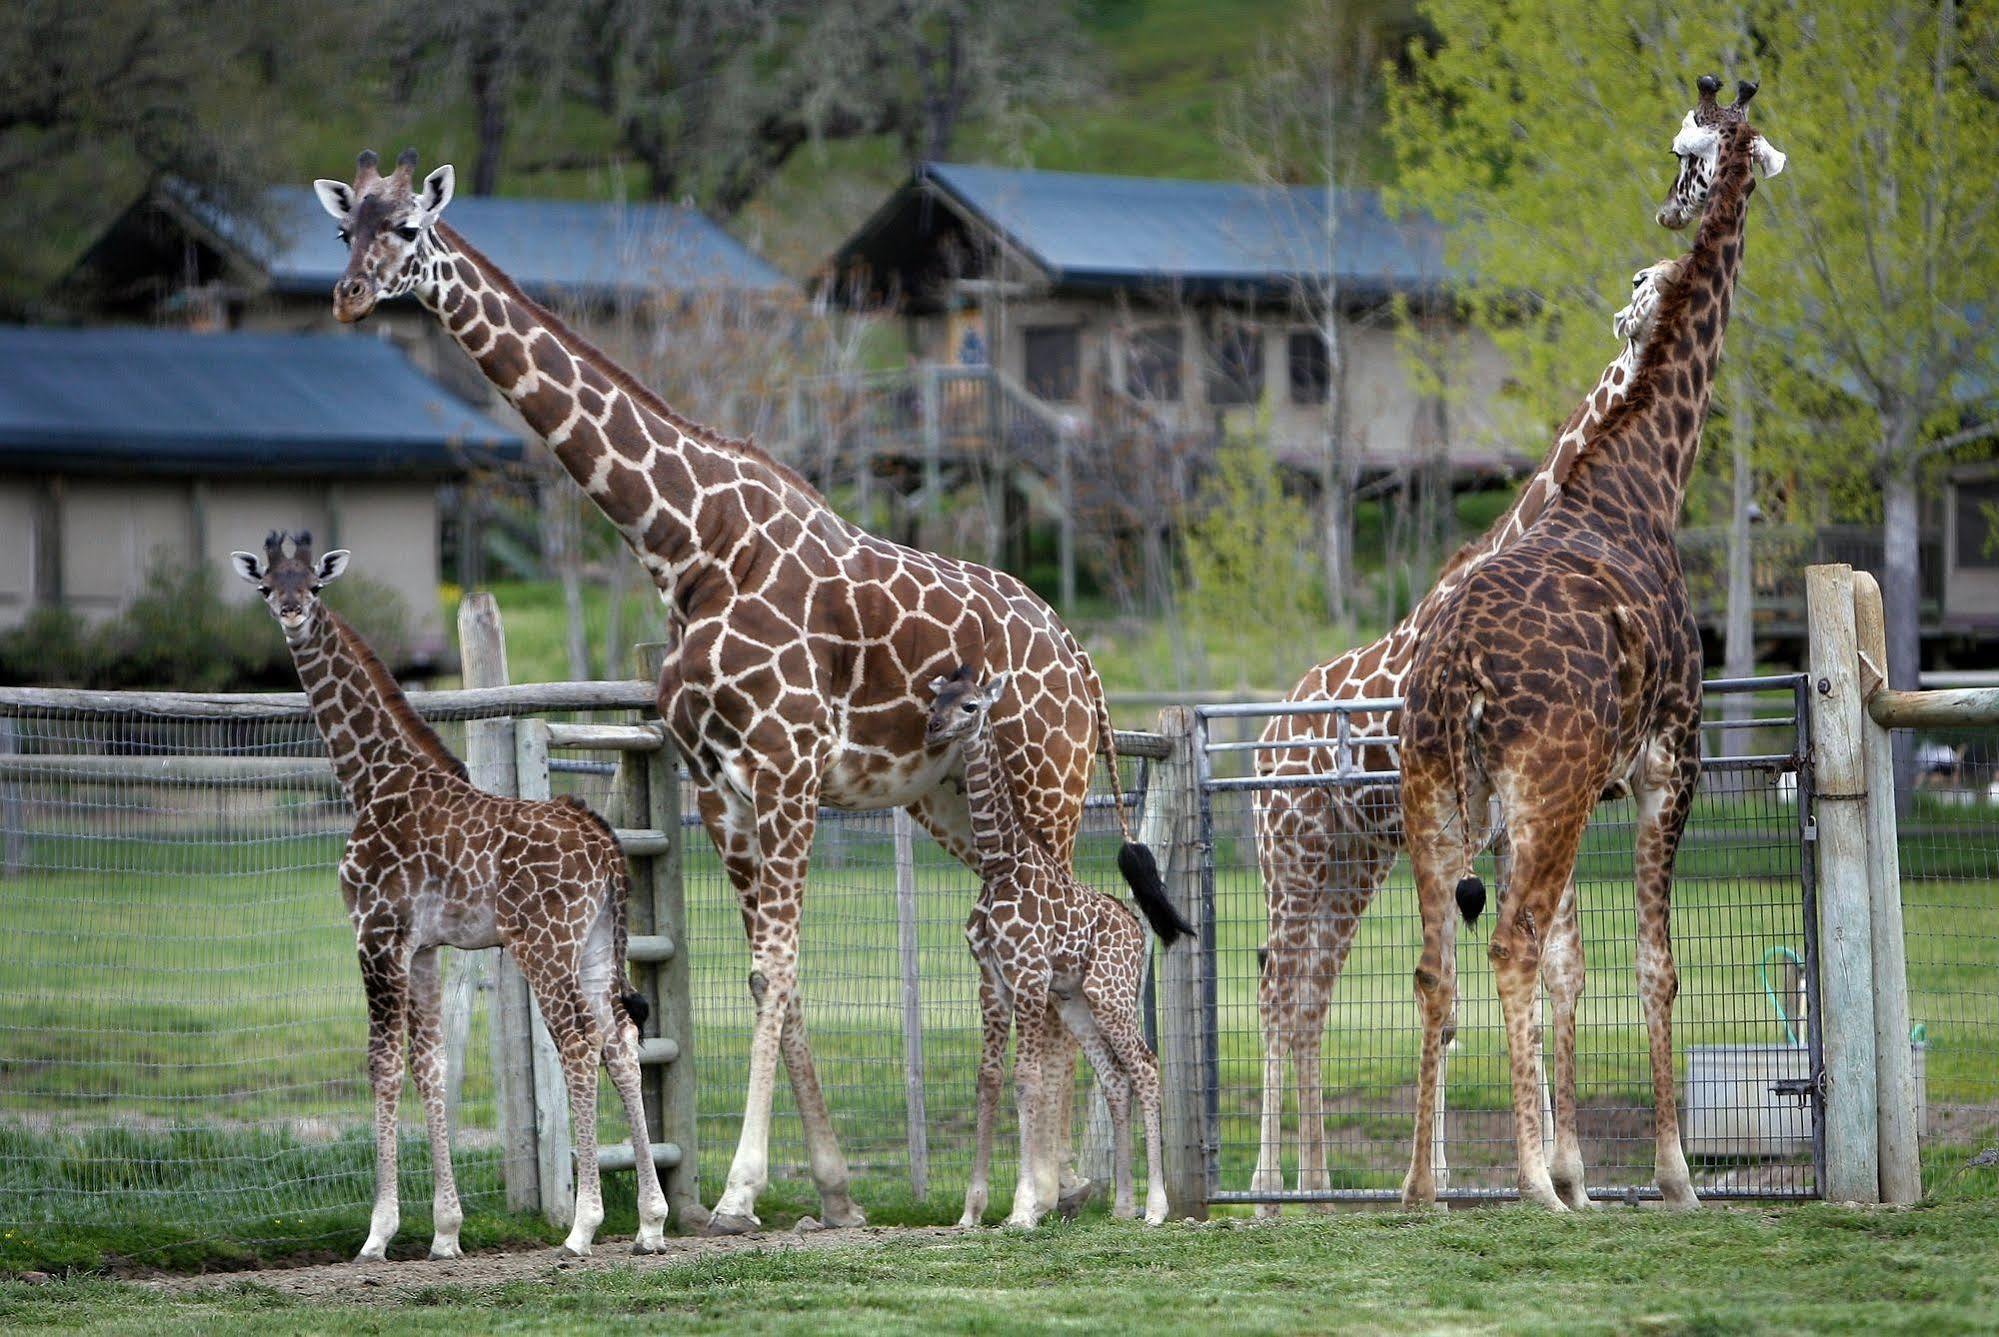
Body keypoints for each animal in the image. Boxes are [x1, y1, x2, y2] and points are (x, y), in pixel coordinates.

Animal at [231, 527, 671, 1255]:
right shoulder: (424, 946)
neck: (371, 779)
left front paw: (377, 1234)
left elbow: (382, 1064)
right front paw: (445, 1232)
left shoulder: (375, 932)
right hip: (594, 943)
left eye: (313, 585)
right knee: (620, 1043)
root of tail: (606, 846)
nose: (291, 612)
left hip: (543, 943)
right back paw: (651, 1224)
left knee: (579, 1042)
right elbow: (430, 1065)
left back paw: (582, 1226)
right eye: (267, 584)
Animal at [311, 145, 1159, 1231]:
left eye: (410, 229)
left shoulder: (787, 767)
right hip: (955, 806)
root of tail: (1082, 662)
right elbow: (767, 980)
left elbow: (778, 965)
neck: (690, 546)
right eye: (345, 230)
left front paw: (739, 1186)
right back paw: (1068, 1183)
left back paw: (1046, 1185)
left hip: (1045, 783)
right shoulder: (719, 783)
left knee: (1060, 941)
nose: (349, 294)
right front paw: (830, 1191)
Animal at [1247, 252, 1687, 1207]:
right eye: (1641, 285)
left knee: (1313, 993)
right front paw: (1529, 1171)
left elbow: (1542, 971)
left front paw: (1531, 1171)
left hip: (1354, 860)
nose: (1665, 293)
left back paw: (1316, 1177)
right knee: (1275, 989)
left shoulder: (1499, 828)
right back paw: (1268, 1182)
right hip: (1288, 850)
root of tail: (1264, 736)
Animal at [1399, 80, 1791, 1207]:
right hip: (1546, 784)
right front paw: (1668, 1175)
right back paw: (1527, 1182)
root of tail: (1455, 669)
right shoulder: (1671, 760)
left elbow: (1579, 962)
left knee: (1437, 963)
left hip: (1441, 790)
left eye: (1684, 153)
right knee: (1508, 943)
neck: (1644, 479)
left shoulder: (1585, 792)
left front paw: (1580, 1168)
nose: (1667, 210)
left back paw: (1422, 1188)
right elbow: (1654, 964)